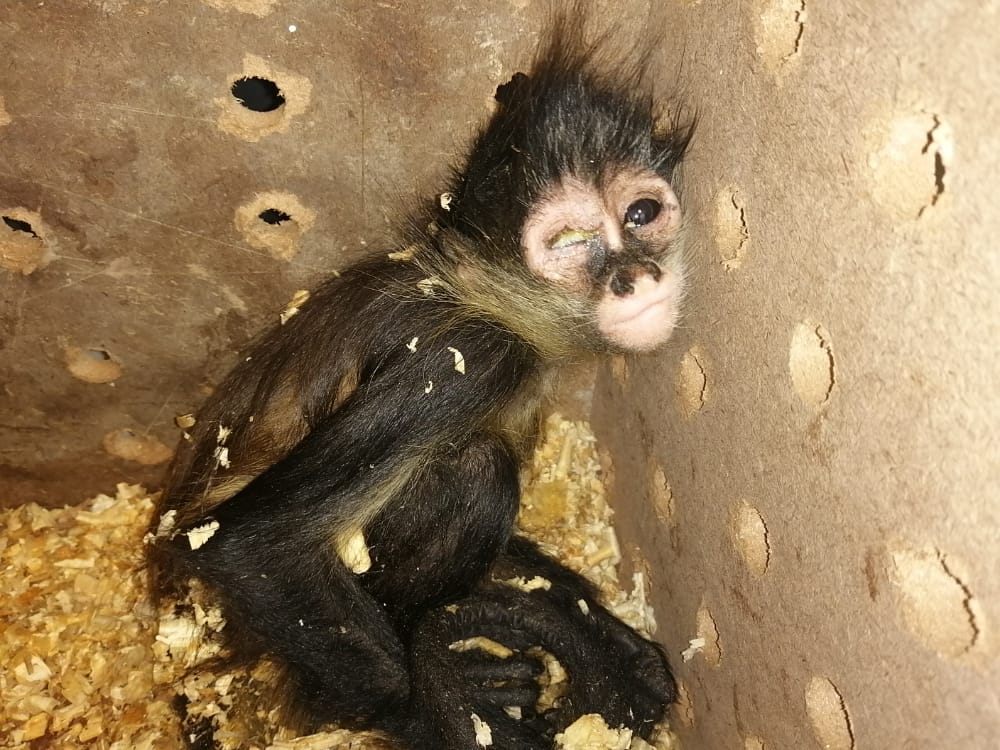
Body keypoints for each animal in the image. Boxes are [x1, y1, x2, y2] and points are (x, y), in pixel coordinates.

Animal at [150, 7, 696, 750]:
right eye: (571, 244)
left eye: (640, 214)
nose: (634, 276)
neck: (469, 290)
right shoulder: (467, 356)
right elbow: (251, 549)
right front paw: (435, 714)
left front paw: (613, 639)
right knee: (476, 472)